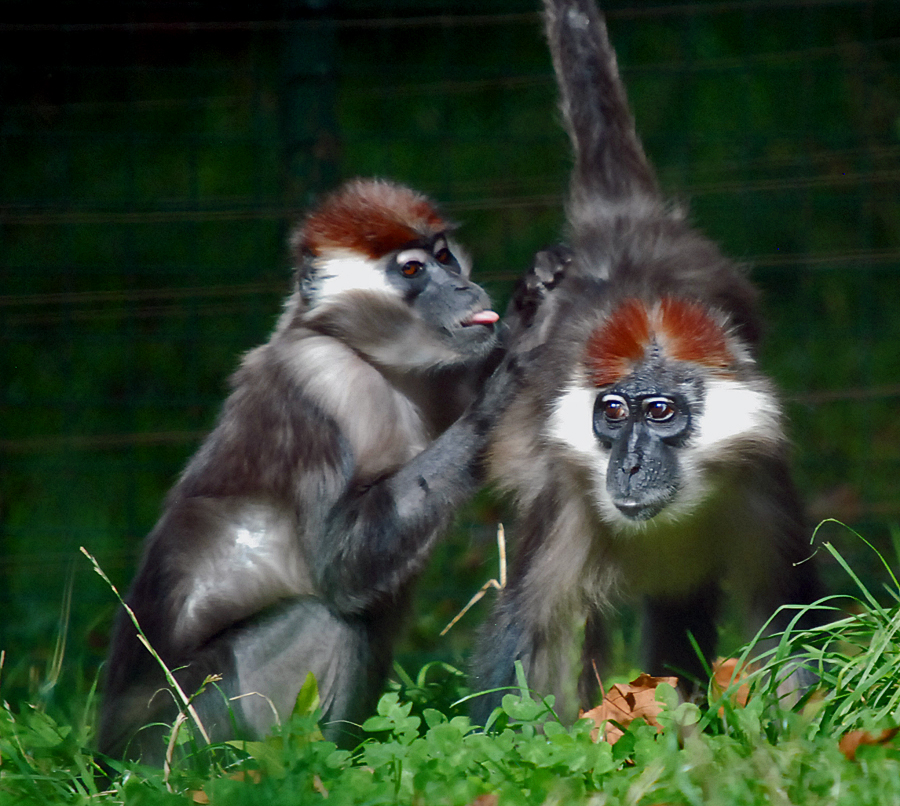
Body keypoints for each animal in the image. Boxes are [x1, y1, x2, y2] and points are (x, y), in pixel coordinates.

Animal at [98, 178, 517, 764]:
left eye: (444, 257)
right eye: (413, 270)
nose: (463, 287)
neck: (367, 357)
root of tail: (110, 756)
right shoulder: (322, 378)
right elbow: (340, 566)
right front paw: (506, 383)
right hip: (194, 727)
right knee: (325, 616)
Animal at [469, 0, 823, 724]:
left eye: (660, 412)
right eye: (612, 411)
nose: (629, 463)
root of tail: (621, 222)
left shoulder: (760, 486)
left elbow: (791, 621)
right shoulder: (569, 501)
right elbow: (520, 641)